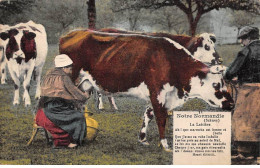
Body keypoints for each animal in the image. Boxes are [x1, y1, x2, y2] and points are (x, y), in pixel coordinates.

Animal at [59, 29, 234, 152]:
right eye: (216, 85)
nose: (231, 104)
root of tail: (72, 33)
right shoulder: (158, 92)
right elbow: (161, 117)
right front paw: (165, 145)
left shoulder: (159, 95)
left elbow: (149, 114)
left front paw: (142, 138)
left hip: (85, 84)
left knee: (79, 106)